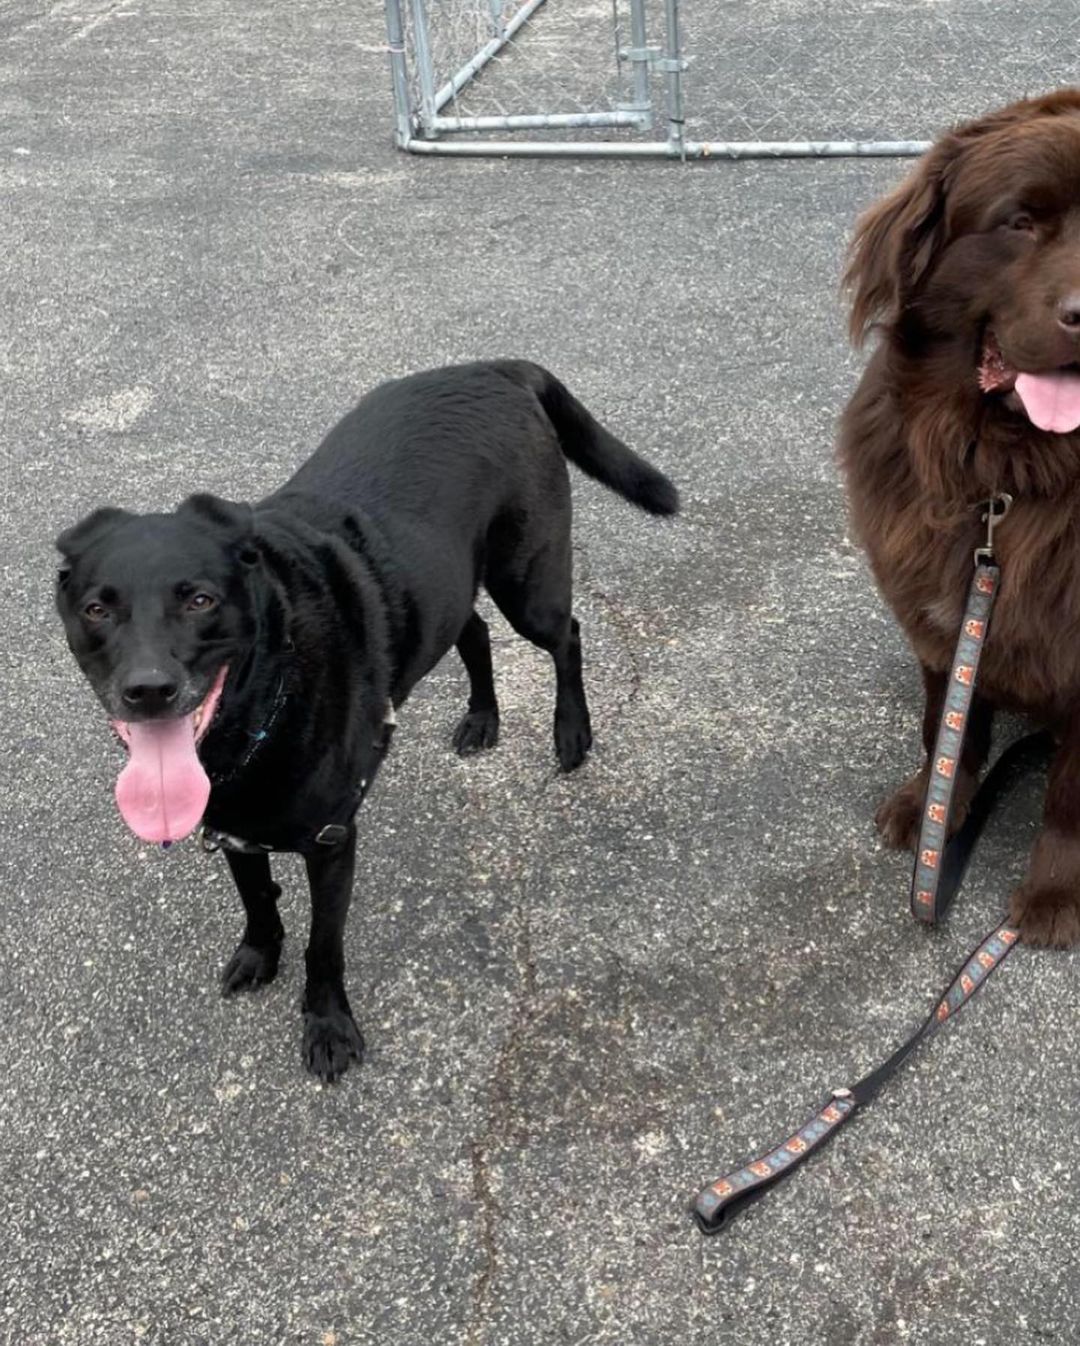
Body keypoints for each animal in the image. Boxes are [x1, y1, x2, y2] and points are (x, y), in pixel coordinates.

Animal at [54, 366, 678, 1082]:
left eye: (200, 600)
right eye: (98, 609)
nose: (148, 690)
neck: (266, 703)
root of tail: (491, 368)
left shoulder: (331, 842)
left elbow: (323, 947)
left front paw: (327, 1026)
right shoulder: (232, 826)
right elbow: (257, 897)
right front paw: (259, 953)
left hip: (528, 583)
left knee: (566, 635)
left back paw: (571, 733)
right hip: (448, 584)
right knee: (473, 631)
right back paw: (482, 717)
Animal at [840, 89, 1080, 947]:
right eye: (1020, 222)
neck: (1011, 480)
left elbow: (1069, 794)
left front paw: (1055, 896)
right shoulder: (944, 614)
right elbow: (949, 729)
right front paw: (932, 814)